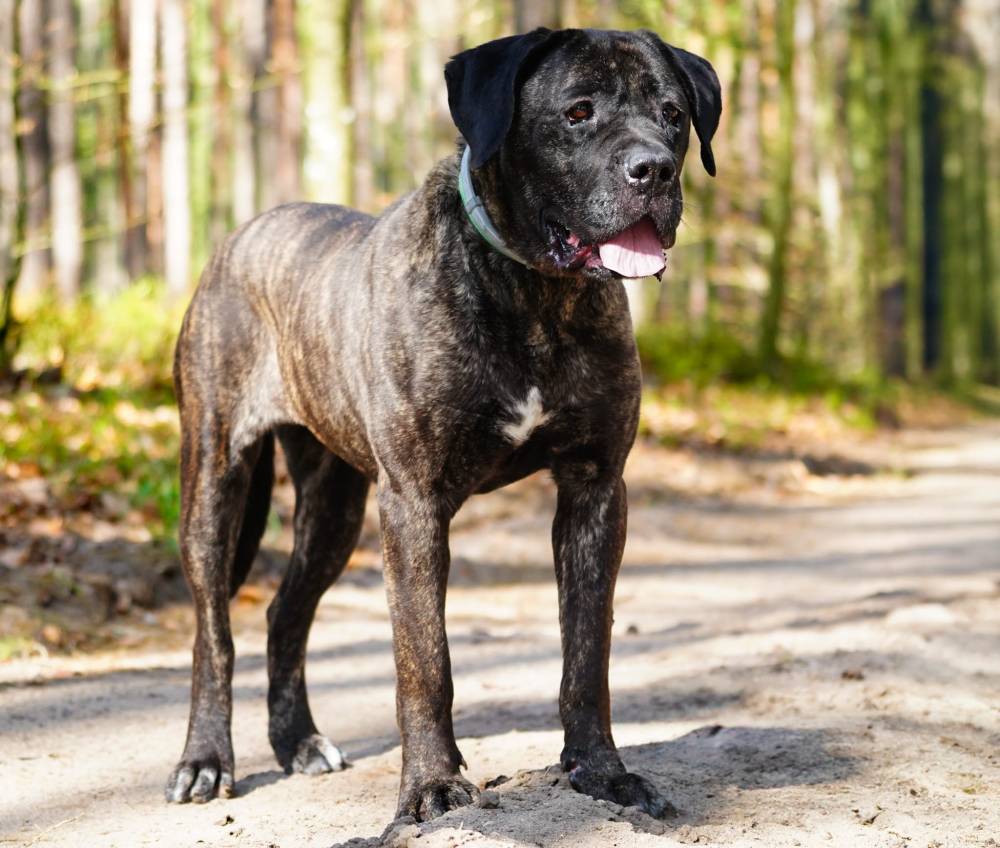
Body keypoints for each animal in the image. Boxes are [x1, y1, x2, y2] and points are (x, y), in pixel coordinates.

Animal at [165, 27, 720, 822]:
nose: (656, 168)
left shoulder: (594, 489)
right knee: (214, 629)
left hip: (333, 505)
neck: (535, 294)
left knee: (284, 612)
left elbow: (588, 652)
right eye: (578, 112)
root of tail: (238, 238)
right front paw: (430, 785)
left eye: (673, 114)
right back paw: (206, 760)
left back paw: (299, 743)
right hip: (215, 479)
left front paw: (601, 771)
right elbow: (425, 658)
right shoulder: (415, 503)